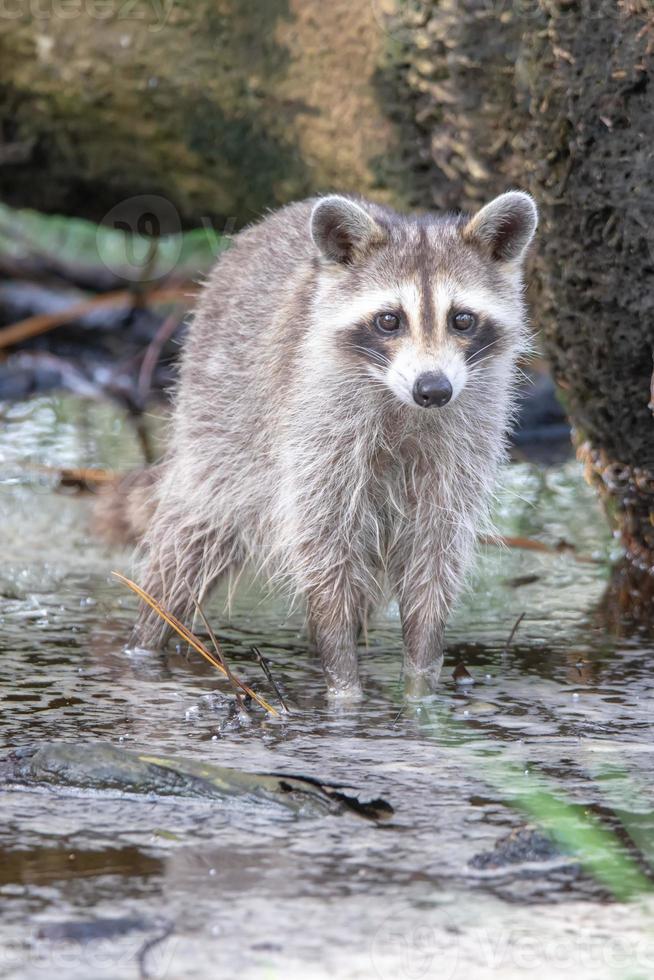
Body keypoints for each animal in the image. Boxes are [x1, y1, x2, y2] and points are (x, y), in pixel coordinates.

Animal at [132, 191, 540, 696]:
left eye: (462, 319)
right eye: (389, 320)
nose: (433, 389)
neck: (401, 403)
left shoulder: (468, 435)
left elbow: (436, 551)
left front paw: (420, 683)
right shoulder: (316, 429)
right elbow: (323, 546)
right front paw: (344, 685)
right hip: (218, 411)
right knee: (191, 536)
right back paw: (149, 635)